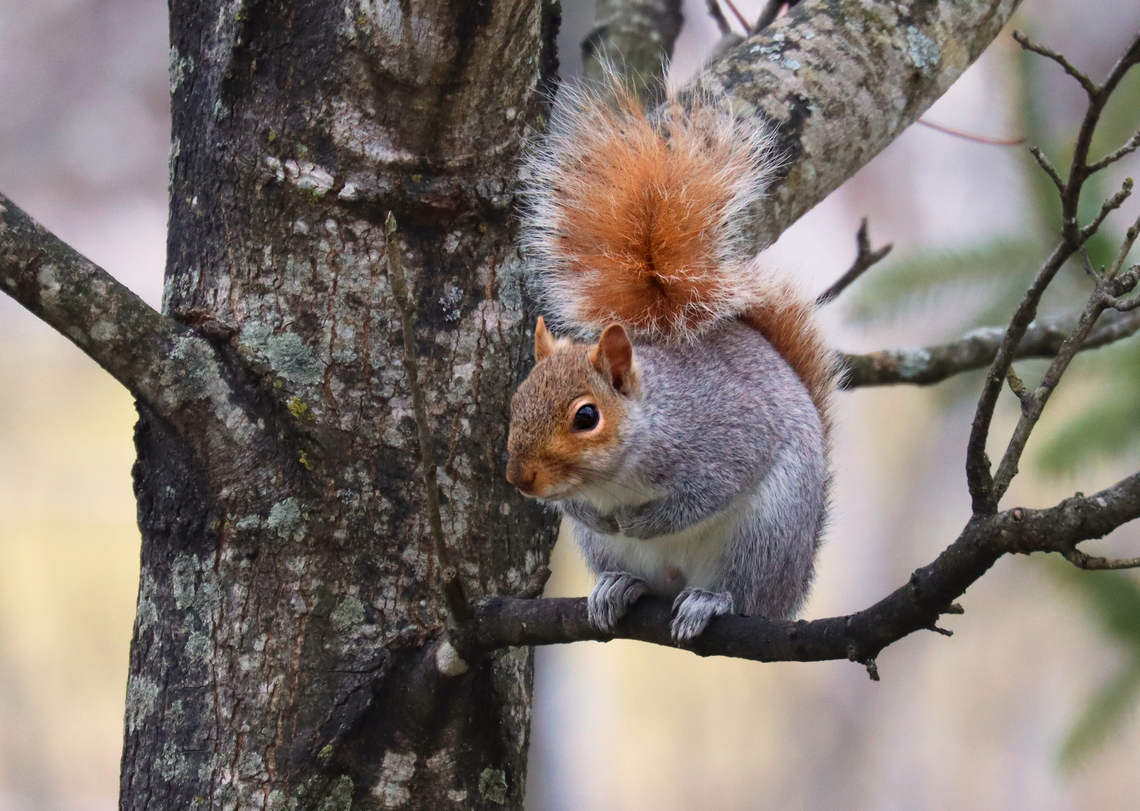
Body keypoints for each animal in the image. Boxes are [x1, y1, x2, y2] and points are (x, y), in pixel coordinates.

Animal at [505, 78, 835, 642]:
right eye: (515, 400)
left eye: (586, 416)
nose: (520, 478)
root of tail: (792, 590)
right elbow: (578, 507)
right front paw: (599, 516)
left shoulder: (724, 440)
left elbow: (706, 493)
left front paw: (643, 522)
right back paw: (618, 586)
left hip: (767, 532)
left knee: (744, 590)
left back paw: (709, 600)